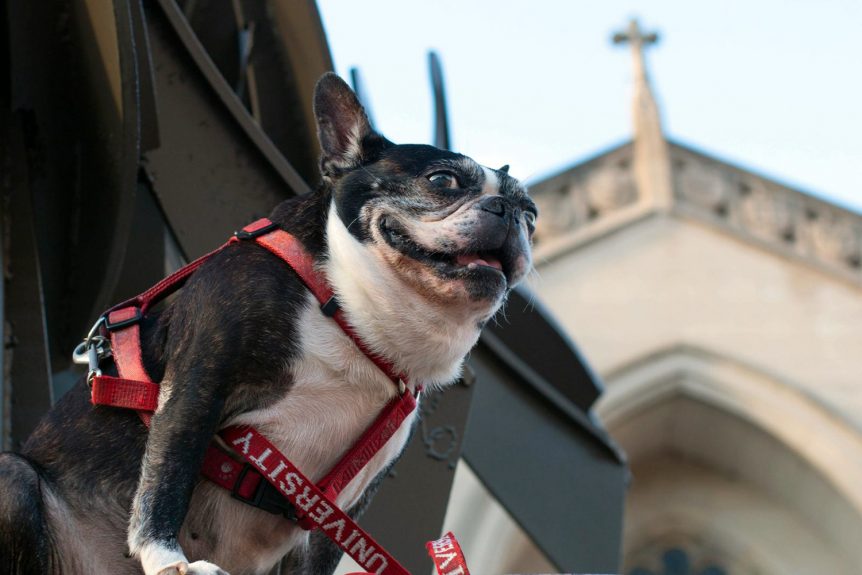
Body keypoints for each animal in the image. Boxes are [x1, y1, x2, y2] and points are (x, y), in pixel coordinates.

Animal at [0, 74, 536, 572]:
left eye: (531, 215)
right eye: (443, 181)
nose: (509, 210)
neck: (350, 319)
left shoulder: (341, 507)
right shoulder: (197, 388)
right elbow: (167, 477)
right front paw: (167, 558)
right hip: (15, 479)